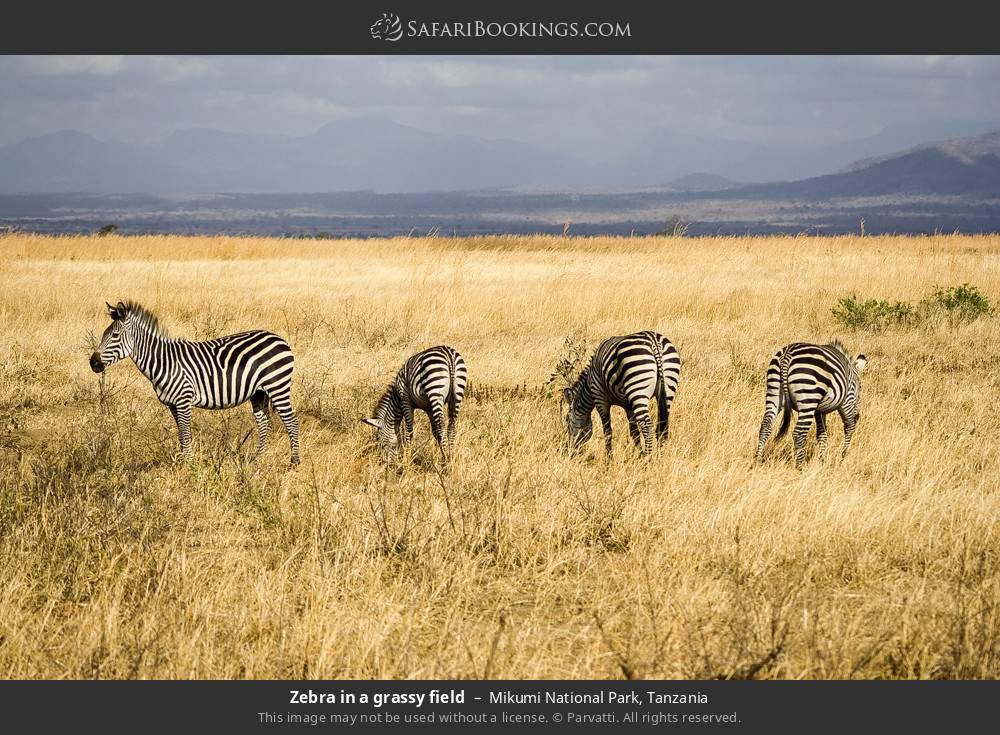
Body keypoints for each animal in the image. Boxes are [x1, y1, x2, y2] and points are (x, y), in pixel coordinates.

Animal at [89, 301, 300, 466]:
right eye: (104, 334)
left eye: (115, 336)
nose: (93, 363)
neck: (164, 362)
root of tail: (280, 339)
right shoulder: (172, 405)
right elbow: (181, 436)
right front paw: (184, 463)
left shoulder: (183, 400)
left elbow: (185, 433)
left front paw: (188, 465)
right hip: (259, 393)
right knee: (265, 424)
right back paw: (257, 459)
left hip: (277, 386)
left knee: (291, 422)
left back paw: (294, 462)